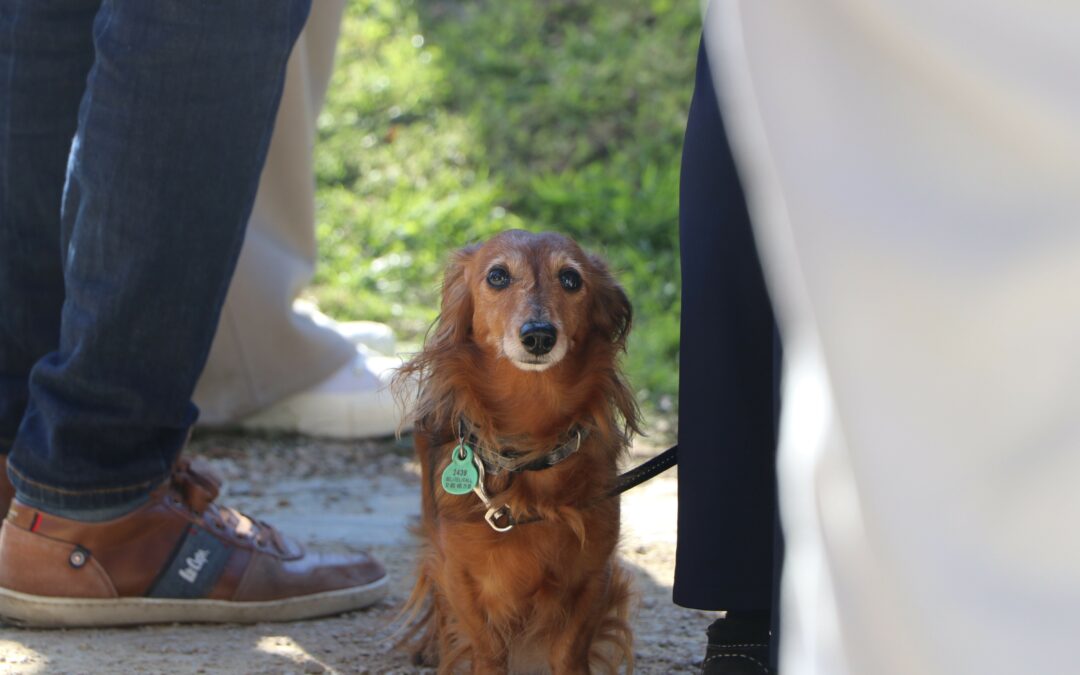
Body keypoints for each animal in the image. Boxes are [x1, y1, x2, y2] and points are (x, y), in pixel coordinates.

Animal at [397, 228, 639, 669]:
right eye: (497, 276)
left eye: (571, 279)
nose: (539, 335)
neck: (530, 444)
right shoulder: (459, 573)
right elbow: (486, 647)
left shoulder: (593, 574)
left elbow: (570, 652)